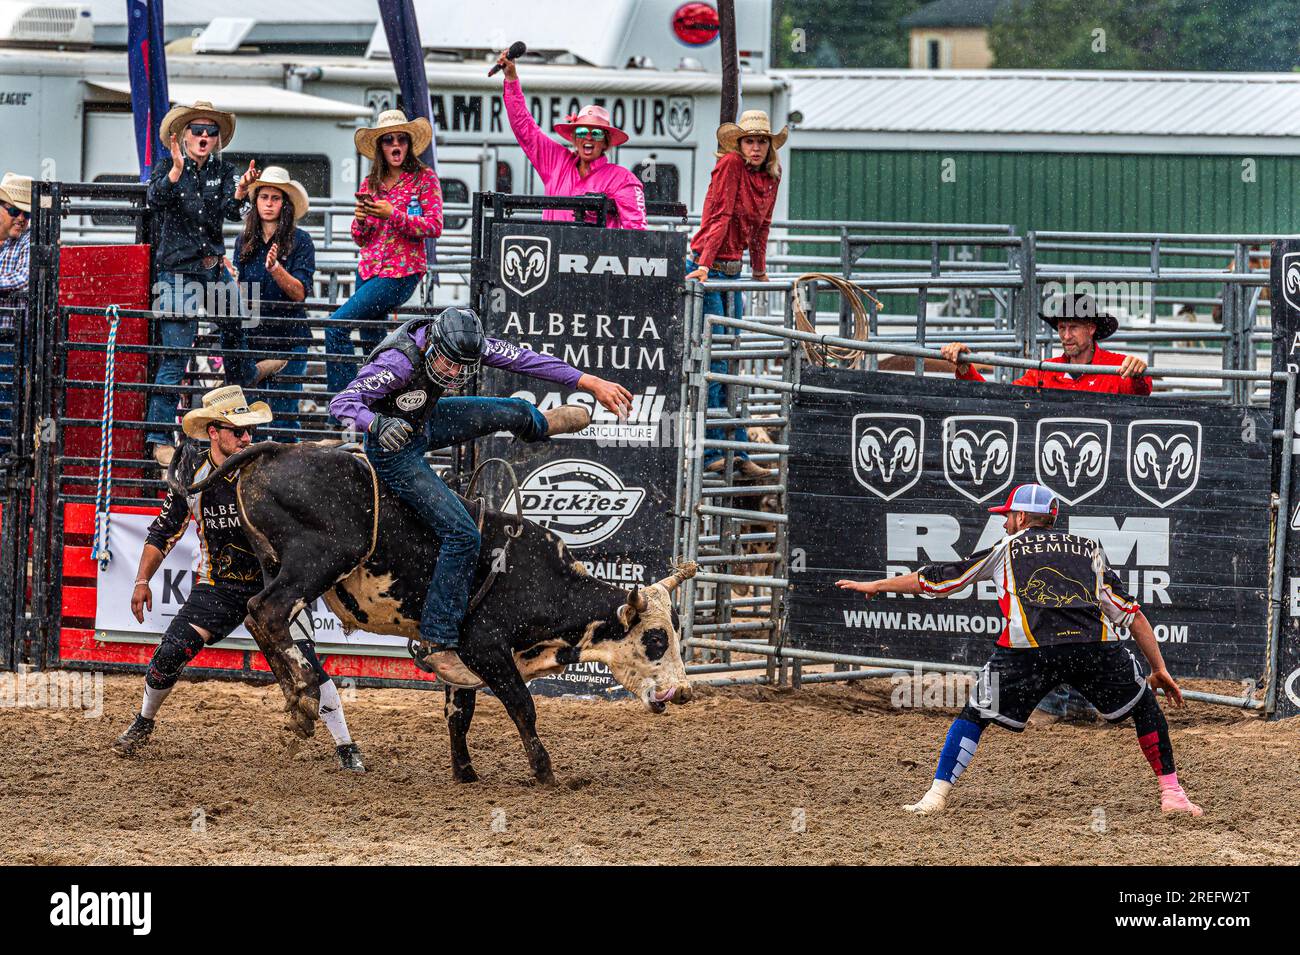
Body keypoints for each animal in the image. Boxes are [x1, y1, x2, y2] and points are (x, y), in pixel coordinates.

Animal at [188, 441, 696, 784]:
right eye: (655, 639)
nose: (684, 692)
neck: (537, 578)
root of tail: (278, 449)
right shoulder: (486, 647)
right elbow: (522, 705)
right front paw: (546, 772)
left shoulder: (455, 658)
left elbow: (459, 713)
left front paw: (465, 772)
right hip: (319, 559)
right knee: (265, 612)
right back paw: (304, 696)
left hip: (279, 564)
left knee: (262, 619)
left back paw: (298, 704)